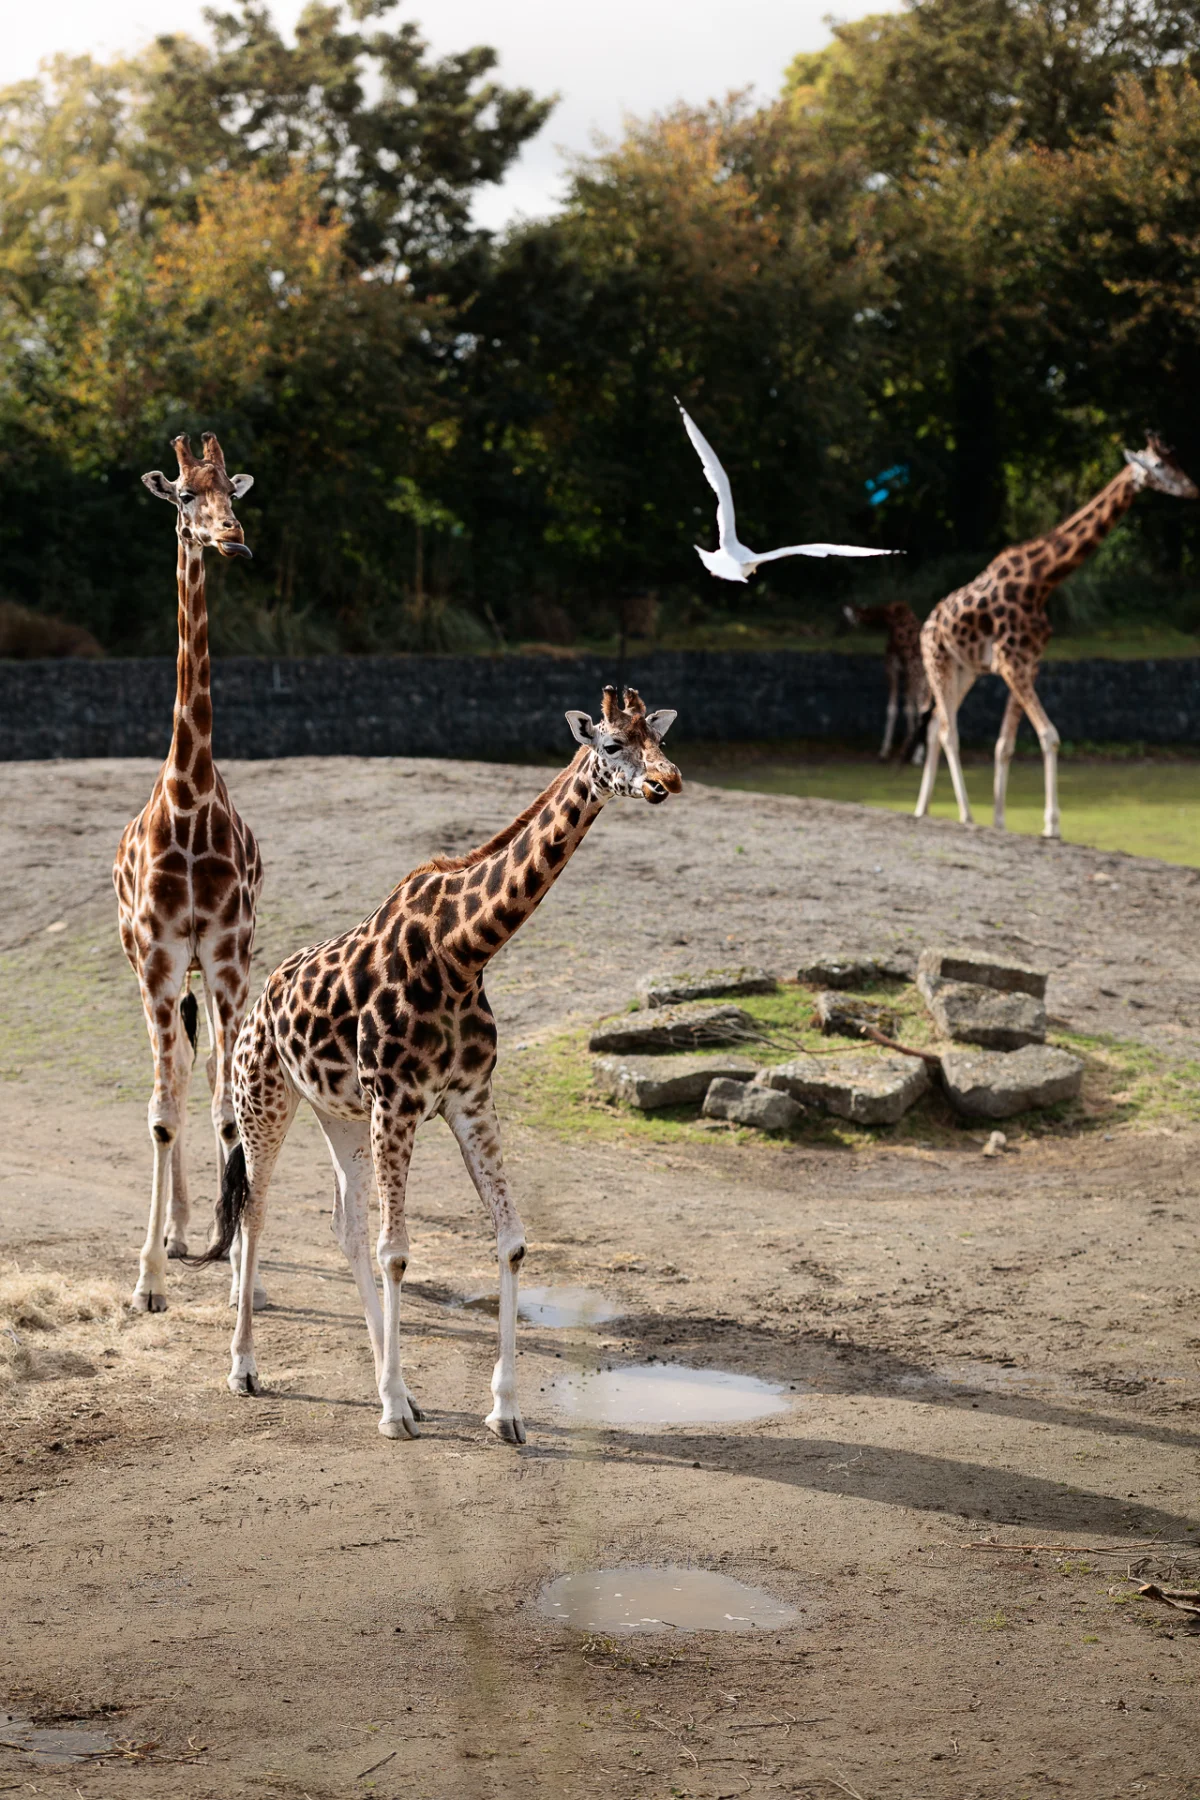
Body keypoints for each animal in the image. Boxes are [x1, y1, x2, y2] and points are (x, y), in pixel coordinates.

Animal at [190, 687, 681, 1444]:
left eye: (654, 738)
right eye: (610, 744)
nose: (667, 781)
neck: (462, 950)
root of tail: (260, 1002)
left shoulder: (468, 1098)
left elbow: (510, 1241)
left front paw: (502, 1410)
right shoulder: (399, 1100)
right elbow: (397, 1249)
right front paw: (393, 1411)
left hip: (342, 1116)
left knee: (345, 1225)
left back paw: (395, 1383)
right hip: (265, 1100)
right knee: (257, 1212)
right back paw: (245, 1369)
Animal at [843, 601, 928, 760]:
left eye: (845, 617)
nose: (838, 631)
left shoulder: (893, 668)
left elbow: (898, 708)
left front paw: (887, 750)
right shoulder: (904, 672)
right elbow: (903, 708)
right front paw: (899, 748)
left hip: (919, 674)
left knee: (924, 708)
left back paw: (917, 755)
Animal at [914, 434, 1198, 839]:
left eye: (1176, 462)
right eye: (1158, 466)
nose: (1191, 488)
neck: (1042, 580)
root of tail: (926, 625)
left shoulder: (1027, 665)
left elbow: (1005, 745)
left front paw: (1001, 821)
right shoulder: (1011, 663)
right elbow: (1049, 735)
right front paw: (1052, 825)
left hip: (963, 669)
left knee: (937, 721)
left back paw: (922, 809)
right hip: (937, 660)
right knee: (947, 731)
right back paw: (965, 814)